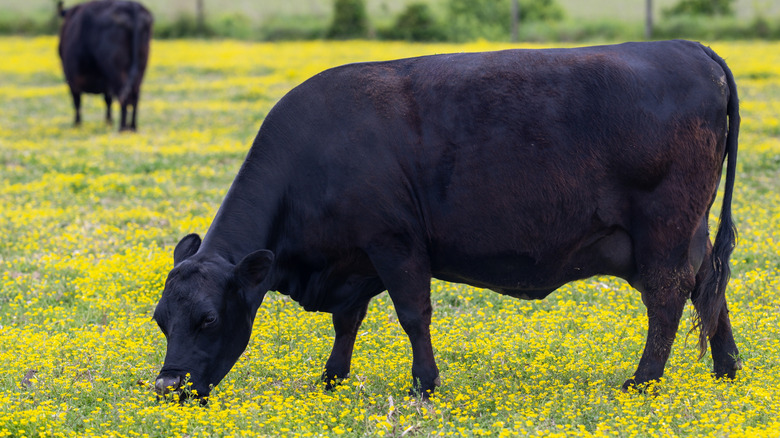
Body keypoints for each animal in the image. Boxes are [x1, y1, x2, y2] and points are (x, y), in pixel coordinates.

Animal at [58, 0, 153, 131]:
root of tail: (131, 5)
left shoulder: (71, 78)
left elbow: (77, 102)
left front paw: (77, 124)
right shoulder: (106, 83)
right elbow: (108, 100)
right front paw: (108, 122)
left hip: (116, 71)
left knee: (125, 98)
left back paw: (122, 128)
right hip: (140, 70)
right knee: (135, 98)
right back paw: (132, 127)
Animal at [153, 40, 741, 401]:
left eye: (208, 319)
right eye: (160, 320)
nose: (166, 387)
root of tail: (690, 48)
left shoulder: (395, 243)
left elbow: (413, 315)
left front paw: (424, 384)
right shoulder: (356, 262)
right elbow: (348, 323)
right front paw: (331, 380)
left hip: (664, 230)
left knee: (668, 297)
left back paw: (643, 383)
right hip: (689, 231)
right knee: (708, 286)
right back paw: (728, 370)